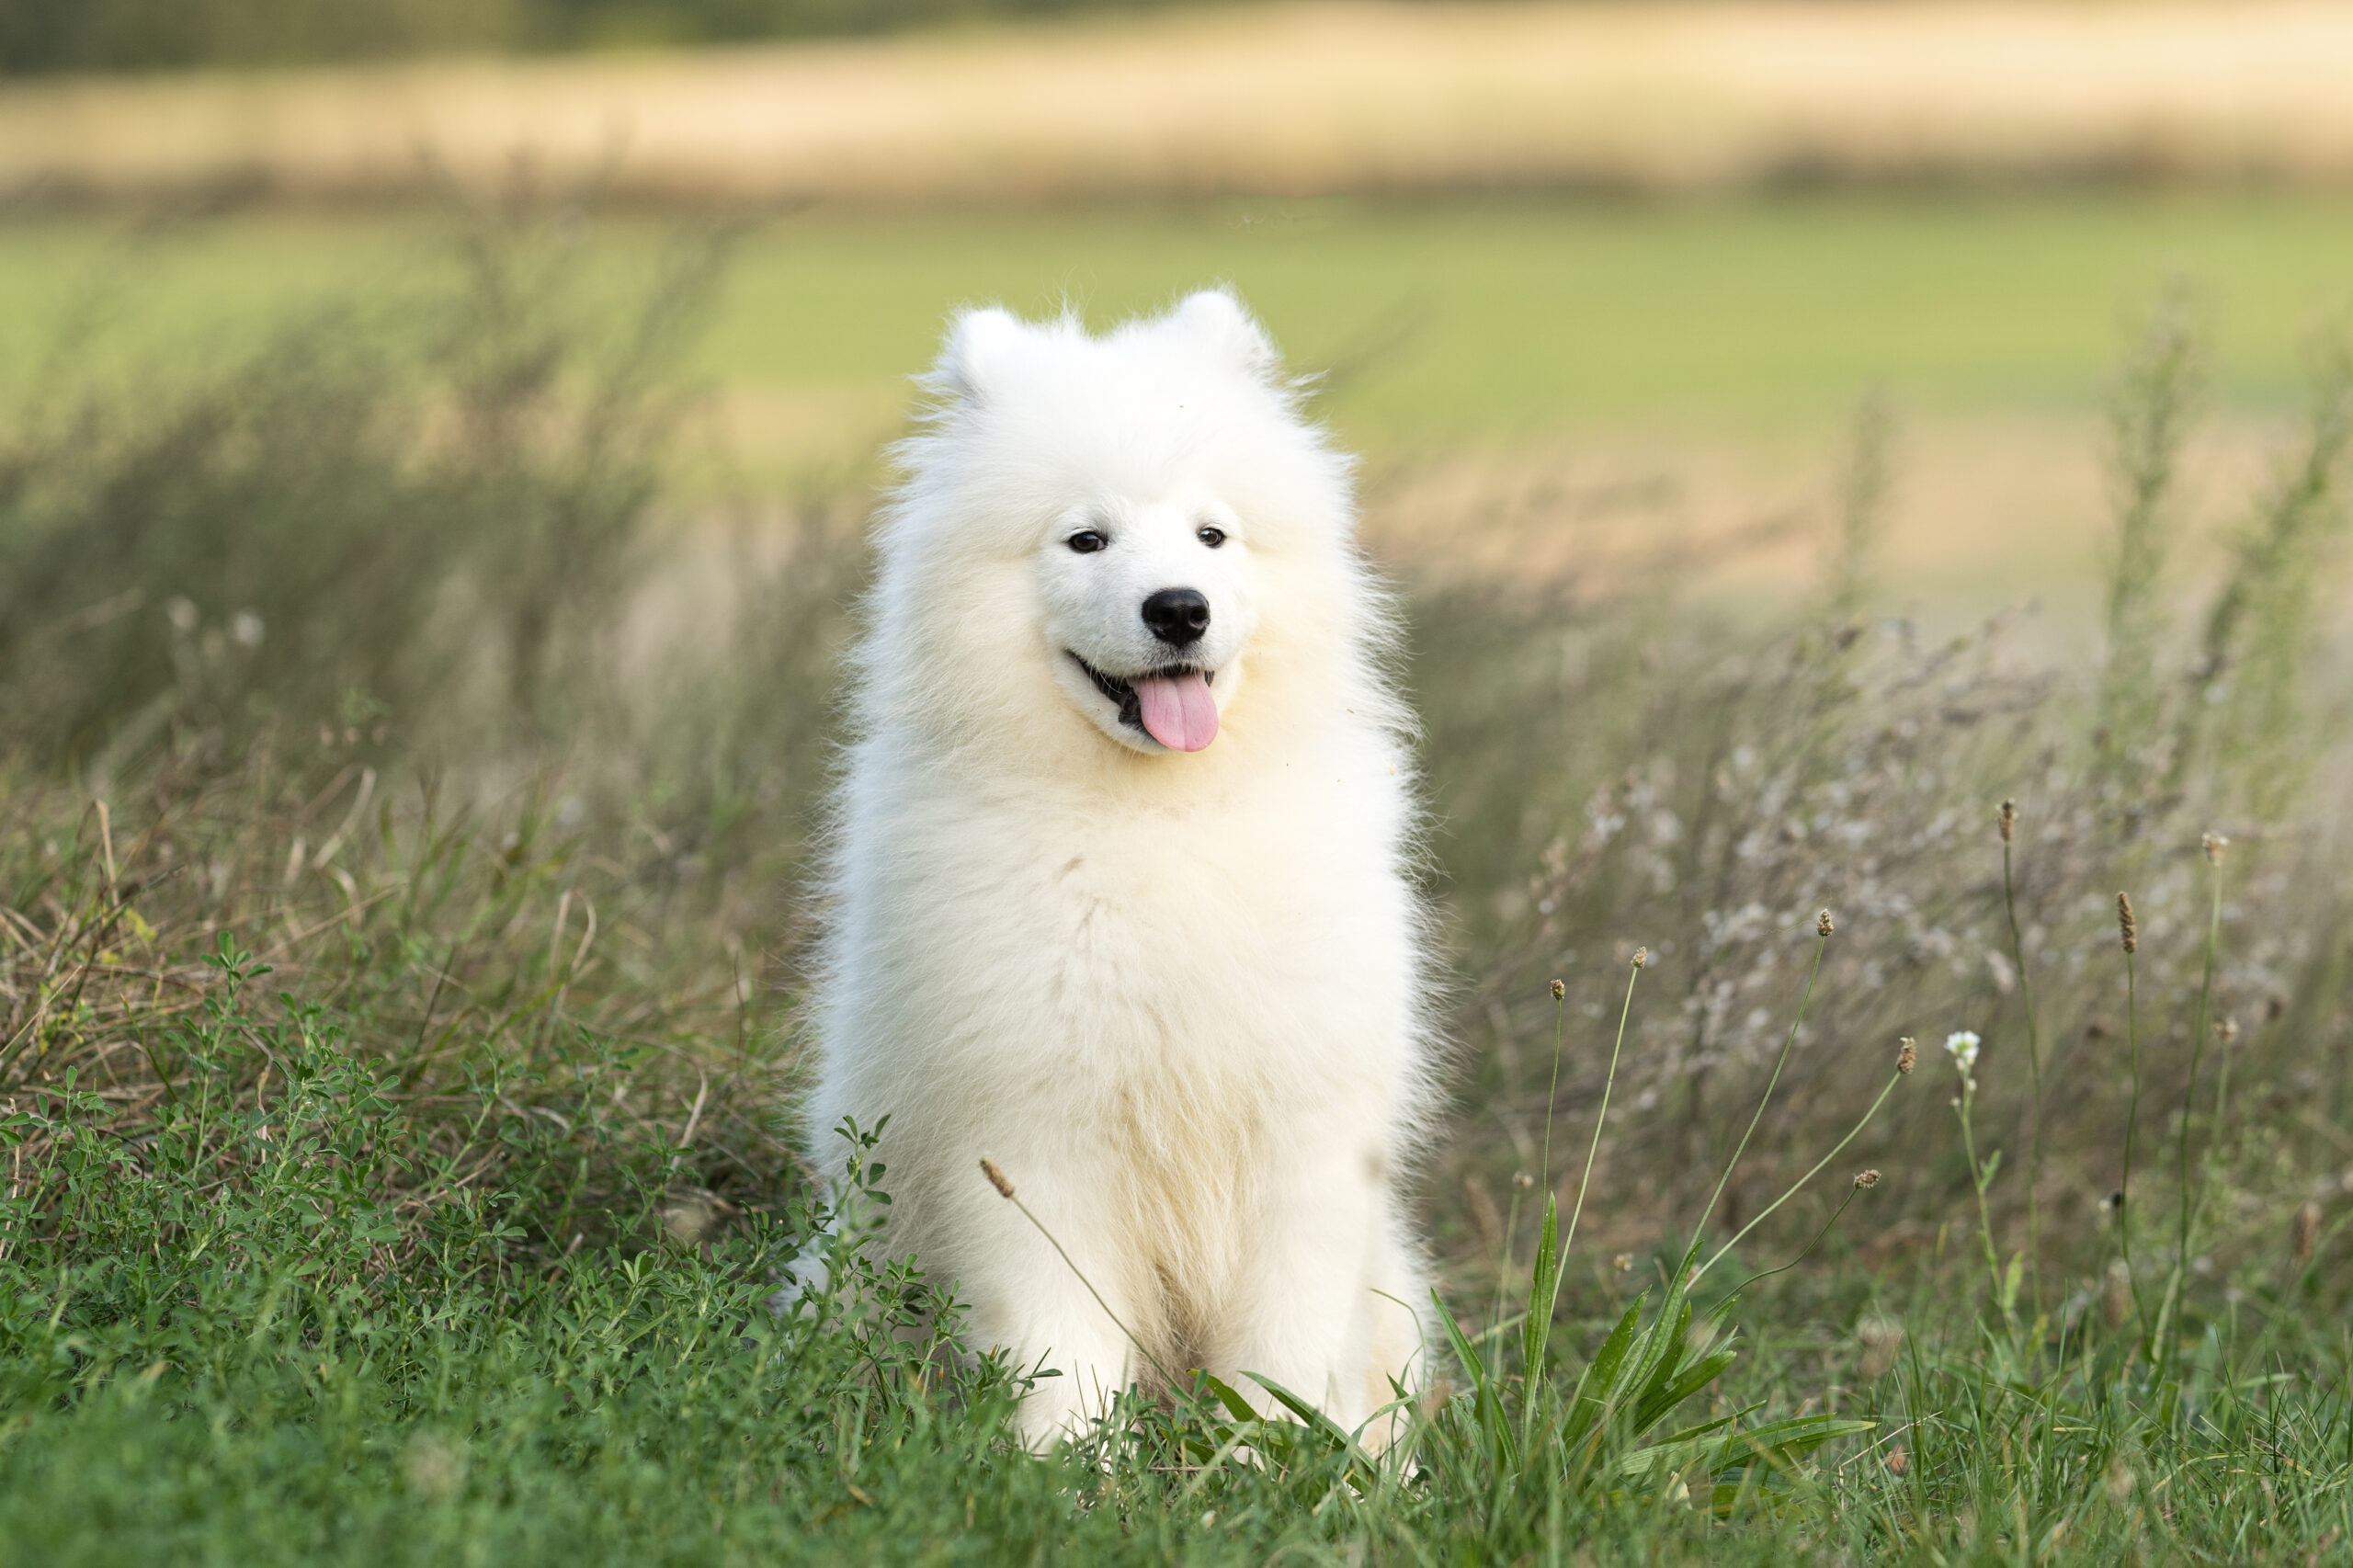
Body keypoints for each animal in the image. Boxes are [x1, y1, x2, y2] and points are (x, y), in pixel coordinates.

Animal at [804, 290, 1430, 1440]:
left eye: (1212, 533)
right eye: (1085, 539)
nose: (1178, 606)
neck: (1158, 820)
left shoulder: (1302, 1136)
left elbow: (1286, 1349)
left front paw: (1283, 1466)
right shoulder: (1031, 1139)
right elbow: (1061, 1351)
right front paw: (1062, 1466)